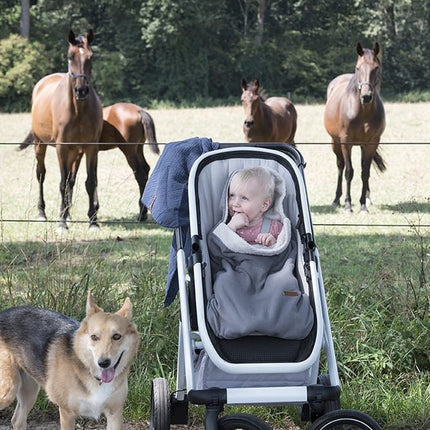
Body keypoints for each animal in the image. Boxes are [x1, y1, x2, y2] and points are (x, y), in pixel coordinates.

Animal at [0, 290, 139, 428]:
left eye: (117, 336)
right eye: (94, 337)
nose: (103, 363)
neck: (93, 376)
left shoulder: (115, 414)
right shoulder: (67, 413)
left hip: (30, 390)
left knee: (17, 420)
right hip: (9, 390)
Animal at [20, 29, 103, 230]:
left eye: (91, 57)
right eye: (70, 56)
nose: (81, 90)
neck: (78, 110)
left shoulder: (91, 147)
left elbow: (90, 182)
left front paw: (93, 221)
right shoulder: (62, 148)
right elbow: (61, 183)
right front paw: (61, 223)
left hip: (75, 152)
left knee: (71, 179)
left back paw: (68, 214)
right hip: (40, 145)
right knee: (41, 175)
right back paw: (43, 213)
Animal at [324, 42, 388, 212]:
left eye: (376, 67)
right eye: (358, 67)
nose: (366, 96)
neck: (363, 112)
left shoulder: (372, 143)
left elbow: (365, 172)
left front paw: (363, 205)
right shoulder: (346, 142)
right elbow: (349, 171)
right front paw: (347, 205)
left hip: (362, 146)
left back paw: (367, 197)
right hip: (335, 142)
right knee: (340, 166)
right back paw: (336, 199)